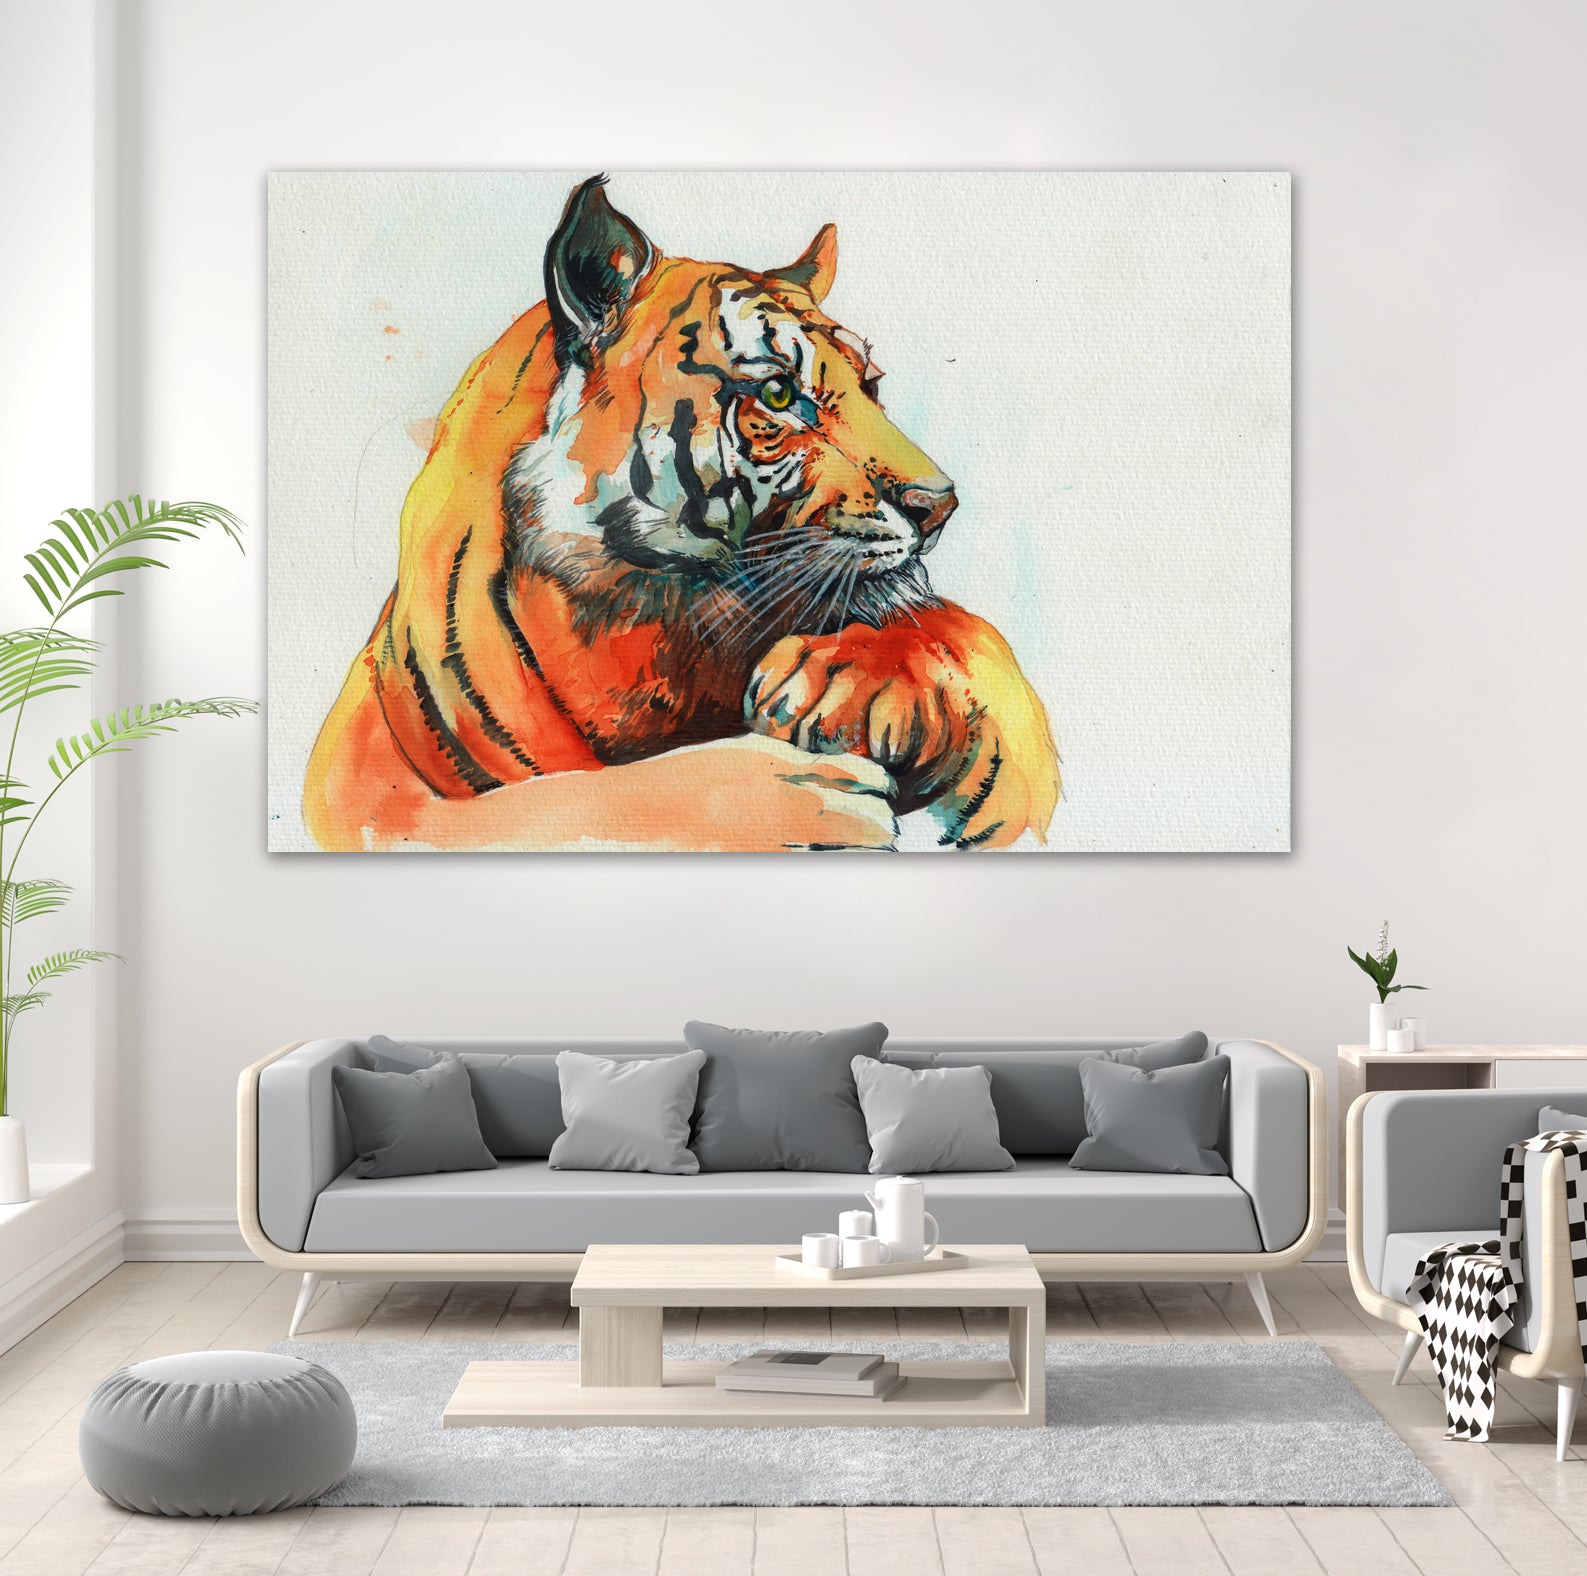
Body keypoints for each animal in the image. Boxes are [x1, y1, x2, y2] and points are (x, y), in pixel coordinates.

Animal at [303, 175, 1059, 852]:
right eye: (779, 395)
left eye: (870, 386)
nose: (939, 504)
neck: (656, 635)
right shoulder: (362, 792)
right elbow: (570, 806)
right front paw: (801, 803)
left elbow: (970, 645)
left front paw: (840, 682)